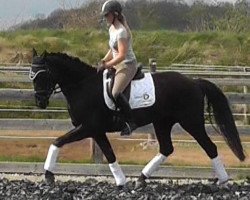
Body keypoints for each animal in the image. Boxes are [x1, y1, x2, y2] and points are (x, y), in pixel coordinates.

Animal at [30, 48, 245, 188]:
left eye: (42, 75)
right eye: (31, 75)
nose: (40, 102)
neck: (83, 86)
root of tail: (194, 82)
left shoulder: (89, 127)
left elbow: (58, 141)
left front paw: (48, 176)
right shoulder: (96, 131)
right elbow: (109, 154)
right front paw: (121, 182)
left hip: (191, 122)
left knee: (210, 147)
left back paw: (224, 181)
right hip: (162, 122)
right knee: (166, 148)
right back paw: (140, 180)